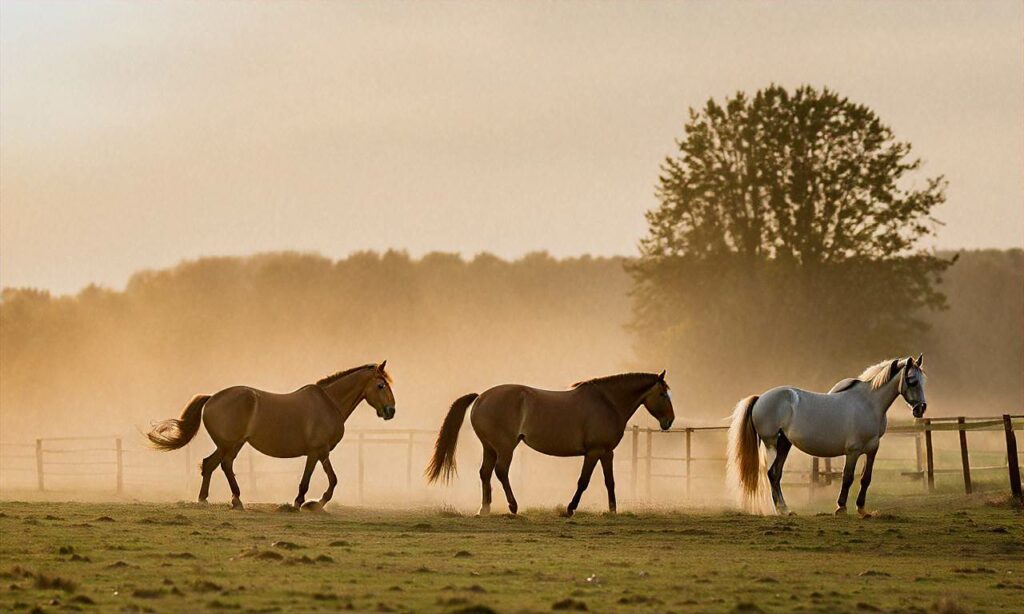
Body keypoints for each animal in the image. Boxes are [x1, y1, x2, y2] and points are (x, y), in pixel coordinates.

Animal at [148, 362, 395, 511]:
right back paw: (234, 499)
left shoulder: (317, 453)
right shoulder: (319, 451)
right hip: (230, 443)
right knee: (221, 465)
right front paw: (309, 503)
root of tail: (212, 398)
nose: (390, 411)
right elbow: (325, 480)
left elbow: (323, 479)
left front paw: (308, 503)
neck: (329, 403)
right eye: (381, 385)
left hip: (233, 444)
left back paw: (211, 499)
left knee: (213, 464)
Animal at [421, 372, 671, 515]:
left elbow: (610, 482)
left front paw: (612, 511)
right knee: (501, 472)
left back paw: (484, 509)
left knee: (485, 473)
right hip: (505, 447)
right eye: (663, 394)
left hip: (489, 448)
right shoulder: (593, 452)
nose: (669, 421)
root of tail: (481, 397)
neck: (607, 402)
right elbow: (583, 482)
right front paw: (570, 509)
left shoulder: (606, 452)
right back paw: (513, 506)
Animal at [729, 354, 929, 517]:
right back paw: (781, 510)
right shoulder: (853, 451)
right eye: (912, 380)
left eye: (923, 381)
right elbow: (848, 477)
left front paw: (862, 509)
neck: (868, 404)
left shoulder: (872, 449)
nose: (920, 409)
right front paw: (841, 508)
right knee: (771, 473)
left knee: (776, 474)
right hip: (771, 443)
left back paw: (786, 510)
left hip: (784, 443)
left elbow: (866, 478)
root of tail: (761, 398)